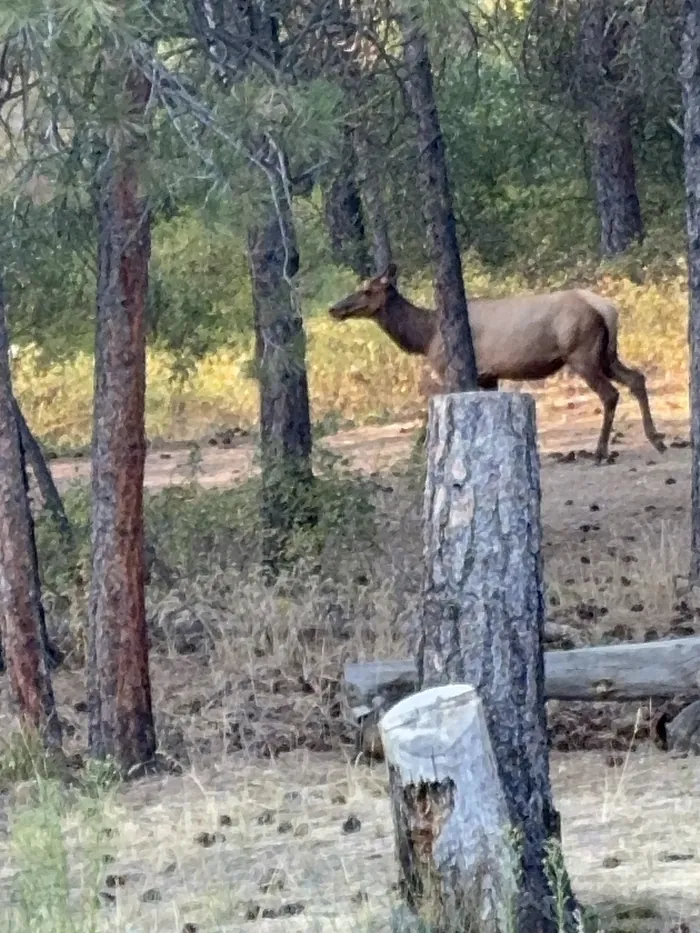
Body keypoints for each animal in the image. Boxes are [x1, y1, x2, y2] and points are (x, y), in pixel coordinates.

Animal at [328, 263, 666, 463]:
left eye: (368, 290)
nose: (334, 308)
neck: (424, 337)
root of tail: (608, 309)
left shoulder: (452, 371)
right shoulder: (489, 376)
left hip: (582, 353)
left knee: (610, 393)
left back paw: (600, 451)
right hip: (607, 353)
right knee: (637, 378)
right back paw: (656, 439)